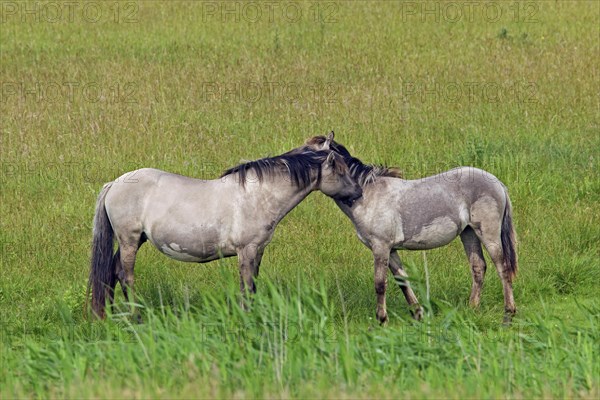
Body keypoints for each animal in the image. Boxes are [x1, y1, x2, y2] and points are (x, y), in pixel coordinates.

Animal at [88, 141, 360, 318]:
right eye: (340, 169)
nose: (358, 193)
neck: (258, 195)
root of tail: (114, 184)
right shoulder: (246, 250)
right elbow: (246, 286)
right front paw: (246, 316)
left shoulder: (258, 250)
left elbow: (253, 285)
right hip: (129, 240)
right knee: (125, 275)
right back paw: (135, 316)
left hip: (135, 240)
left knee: (111, 272)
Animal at [304, 134, 516, 324]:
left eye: (310, 158)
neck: (367, 196)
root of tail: (498, 183)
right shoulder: (391, 250)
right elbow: (402, 281)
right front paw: (418, 314)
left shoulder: (381, 248)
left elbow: (380, 284)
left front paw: (382, 320)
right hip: (469, 233)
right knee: (478, 267)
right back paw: (472, 308)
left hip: (488, 233)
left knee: (502, 267)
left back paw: (508, 313)